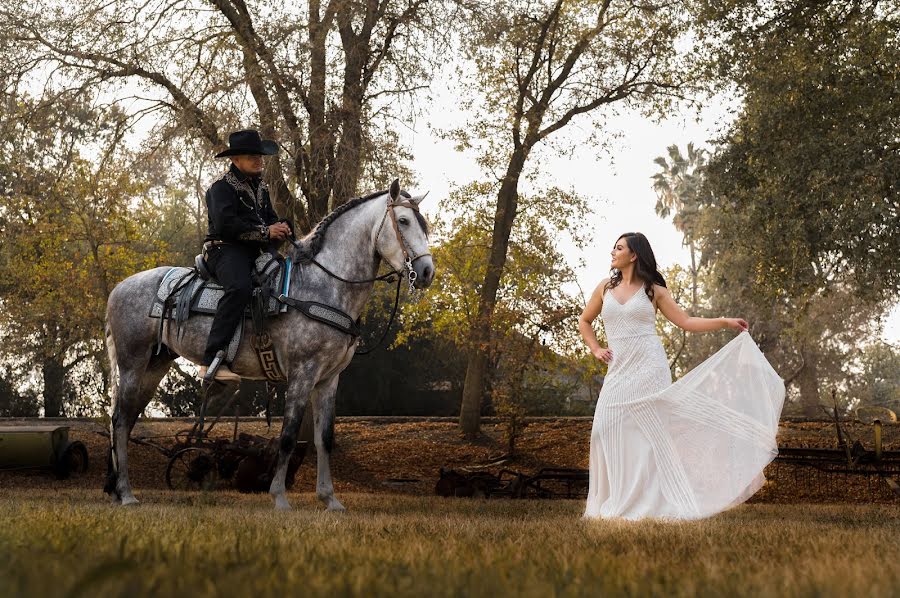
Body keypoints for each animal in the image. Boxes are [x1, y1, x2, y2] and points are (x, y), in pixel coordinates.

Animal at [103, 182, 434, 510]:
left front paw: (330, 499)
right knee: (119, 421)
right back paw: (127, 494)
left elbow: (323, 439)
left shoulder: (328, 379)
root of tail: (119, 288)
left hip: (154, 366)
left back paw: (117, 489)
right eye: (403, 221)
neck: (320, 286)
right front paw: (279, 497)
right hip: (132, 364)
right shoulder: (302, 373)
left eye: (424, 224)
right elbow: (287, 436)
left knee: (126, 420)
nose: (427, 272)